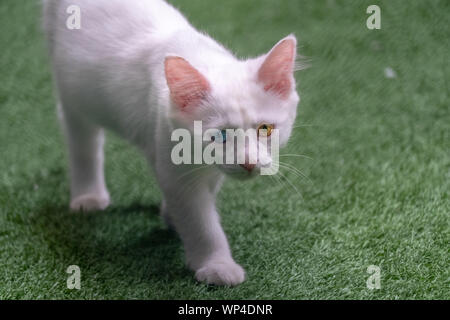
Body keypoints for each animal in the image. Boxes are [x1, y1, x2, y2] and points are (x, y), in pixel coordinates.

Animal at [44, 0, 300, 284]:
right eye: (220, 136)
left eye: (265, 129)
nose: (249, 163)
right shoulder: (177, 171)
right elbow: (201, 223)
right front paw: (216, 265)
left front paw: (173, 218)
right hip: (73, 96)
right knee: (83, 145)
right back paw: (88, 196)